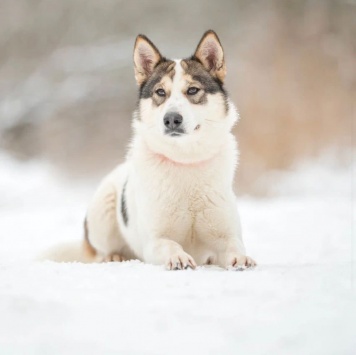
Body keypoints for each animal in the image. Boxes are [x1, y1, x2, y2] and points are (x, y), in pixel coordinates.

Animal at [46, 31, 256, 270]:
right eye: (160, 92)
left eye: (192, 90)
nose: (171, 119)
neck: (184, 160)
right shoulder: (155, 241)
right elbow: (170, 245)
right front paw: (179, 257)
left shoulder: (226, 235)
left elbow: (234, 246)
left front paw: (241, 258)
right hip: (104, 209)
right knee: (100, 253)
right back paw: (114, 257)